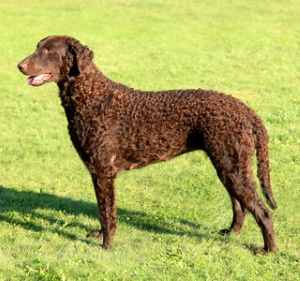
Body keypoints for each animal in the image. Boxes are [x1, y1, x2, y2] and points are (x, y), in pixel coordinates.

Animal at [17, 35, 278, 252]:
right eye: (37, 47)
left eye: (48, 51)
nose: (19, 65)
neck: (92, 97)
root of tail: (246, 111)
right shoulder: (98, 173)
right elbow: (103, 210)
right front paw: (100, 235)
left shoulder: (103, 171)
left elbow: (106, 212)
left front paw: (106, 245)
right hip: (228, 166)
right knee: (240, 205)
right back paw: (231, 233)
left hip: (232, 166)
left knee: (262, 212)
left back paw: (268, 250)